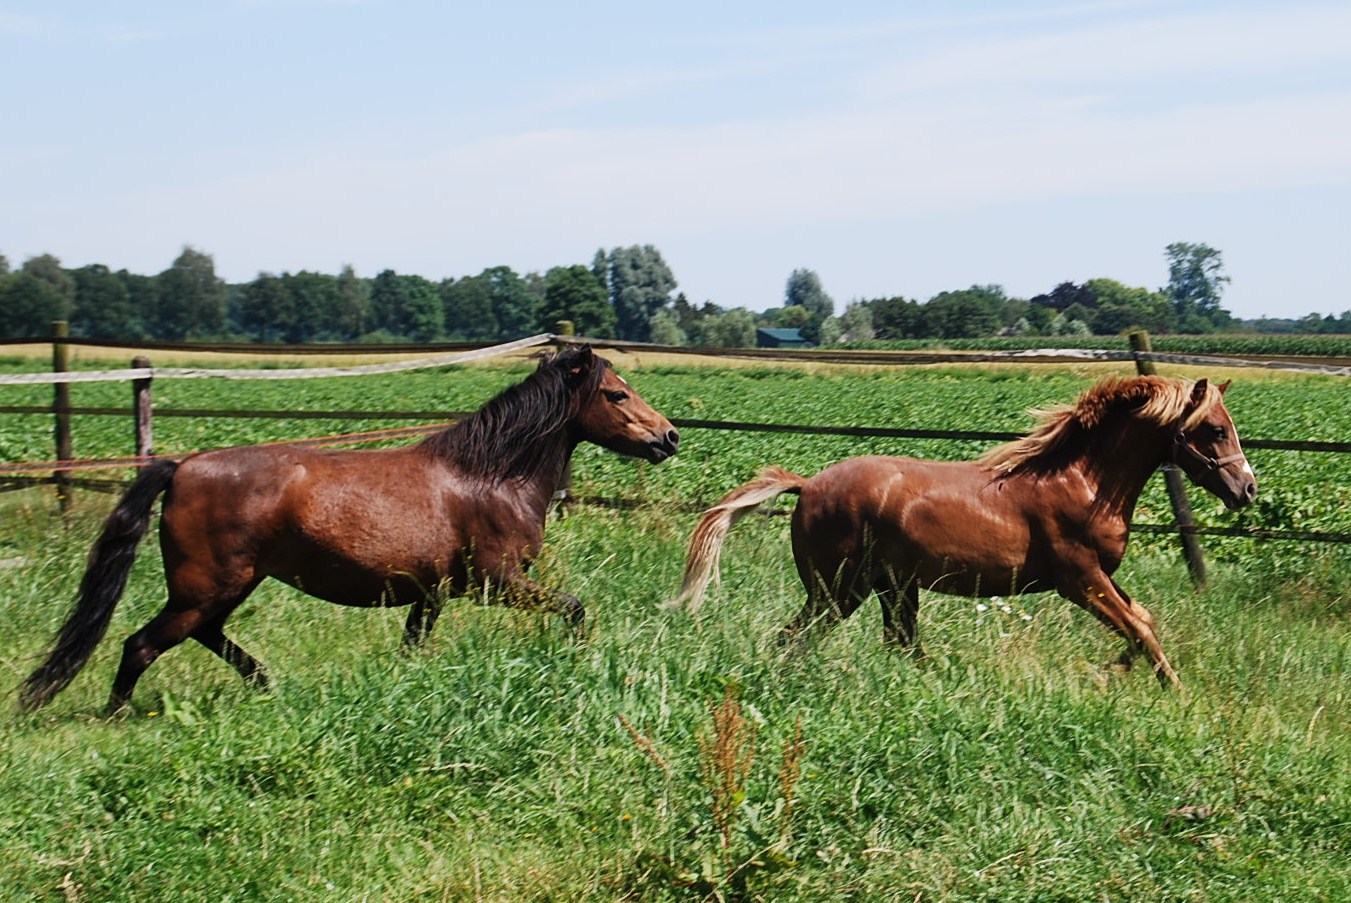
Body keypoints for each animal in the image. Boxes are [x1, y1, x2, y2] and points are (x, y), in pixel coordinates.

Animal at [19, 346, 675, 713]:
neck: (489, 477)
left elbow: (413, 649)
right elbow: (576, 609)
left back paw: (267, 686)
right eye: (616, 394)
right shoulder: (499, 583)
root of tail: (180, 466)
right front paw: (581, 660)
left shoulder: (430, 595)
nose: (669, 437)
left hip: (226, 586)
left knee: (205, 636)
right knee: (141, 645)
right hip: (206, 587)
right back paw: (115, 716)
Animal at [667, 373, 1253, 684]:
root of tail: (807, 485)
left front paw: (1116, 668)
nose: (1247, 489)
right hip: (839, 588)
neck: (1083, 481)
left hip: (888, 588)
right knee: (798, 637)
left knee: (896, 643)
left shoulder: (1099, 577)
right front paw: (1172, 689)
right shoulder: (1080, 579)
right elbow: (1139, 628)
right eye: (1214, 429)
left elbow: (1141, 621)